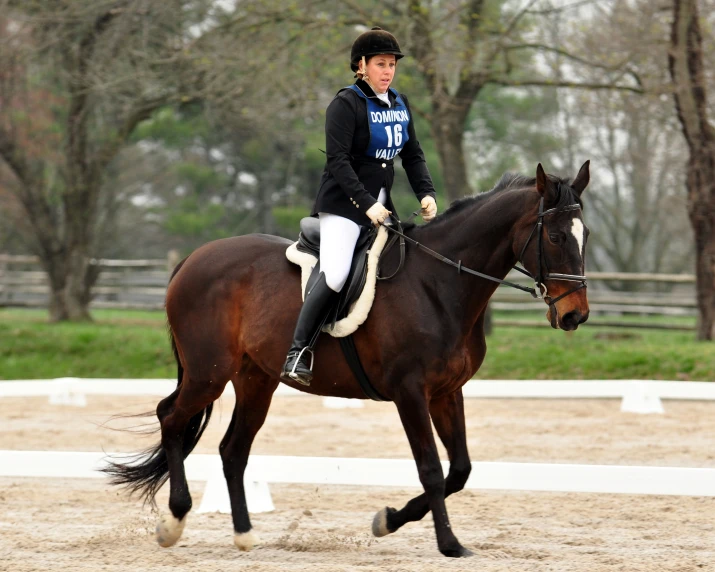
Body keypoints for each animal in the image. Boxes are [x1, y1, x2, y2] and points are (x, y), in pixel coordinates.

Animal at [103, 161, 592, 560]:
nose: (575, 316)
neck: (439, 284)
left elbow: (460, 470)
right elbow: (433, 471)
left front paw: (388, 520)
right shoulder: (410, 392)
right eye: (554, 236)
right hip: (209, 373)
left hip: (256, 379)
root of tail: (193, 257)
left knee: (232, 449)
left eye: (585, 235)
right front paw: (448, 544)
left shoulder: (446, 392)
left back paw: (244, 535)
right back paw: (174, 521)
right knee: (171, 418)